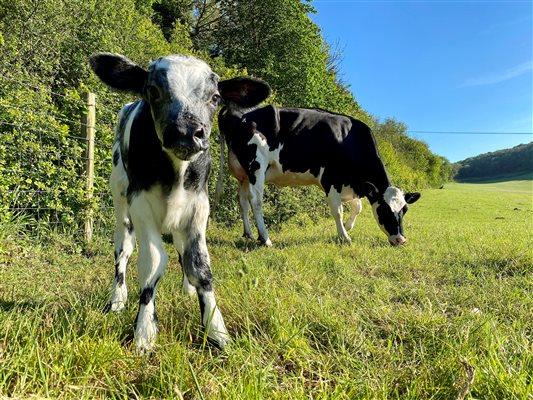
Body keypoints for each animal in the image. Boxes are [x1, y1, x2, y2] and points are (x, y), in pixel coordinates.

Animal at [91, 53, 264, 350]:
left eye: (215, 97)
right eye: (152, 91)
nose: (186, 131)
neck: (177, 171)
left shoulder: (199, 205)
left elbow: (199, 265)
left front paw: (217, 330)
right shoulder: (140, 203)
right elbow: (152, 263)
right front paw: (145, 330)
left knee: (182, 250)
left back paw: (187, 289)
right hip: (120, 201)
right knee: (123, 252)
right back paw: (118, 300)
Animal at [216, 78, 420, 247]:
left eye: (405, 210)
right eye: (385, 210)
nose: (400, 240)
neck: (350, 140)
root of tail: (235, 111)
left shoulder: (351, 185)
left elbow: (358, 207)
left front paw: (348, 226)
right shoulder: (331, 180)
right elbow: (338, 210)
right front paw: (344, 236)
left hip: (243, 174)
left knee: (242, 201)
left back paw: (249, 234)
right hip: (256, 167)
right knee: (255, 200)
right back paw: (265, 238)